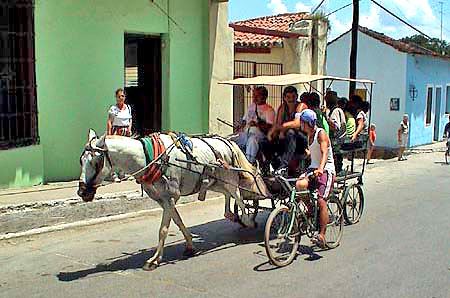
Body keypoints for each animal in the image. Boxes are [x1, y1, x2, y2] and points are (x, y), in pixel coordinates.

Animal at [77, 129, 268, 270]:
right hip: (215, 182)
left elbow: (163, 229)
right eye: (81, 161)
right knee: (229, 195)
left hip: (229, 177)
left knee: (238, 196)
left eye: (96, 162)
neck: (148, 157)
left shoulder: (170, 197)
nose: (82, 192)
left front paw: (154, 260)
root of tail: (227, 141)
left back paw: (247, 220)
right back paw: (232, 215)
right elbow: (178, 222)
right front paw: (190, 246)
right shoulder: (162, 199)